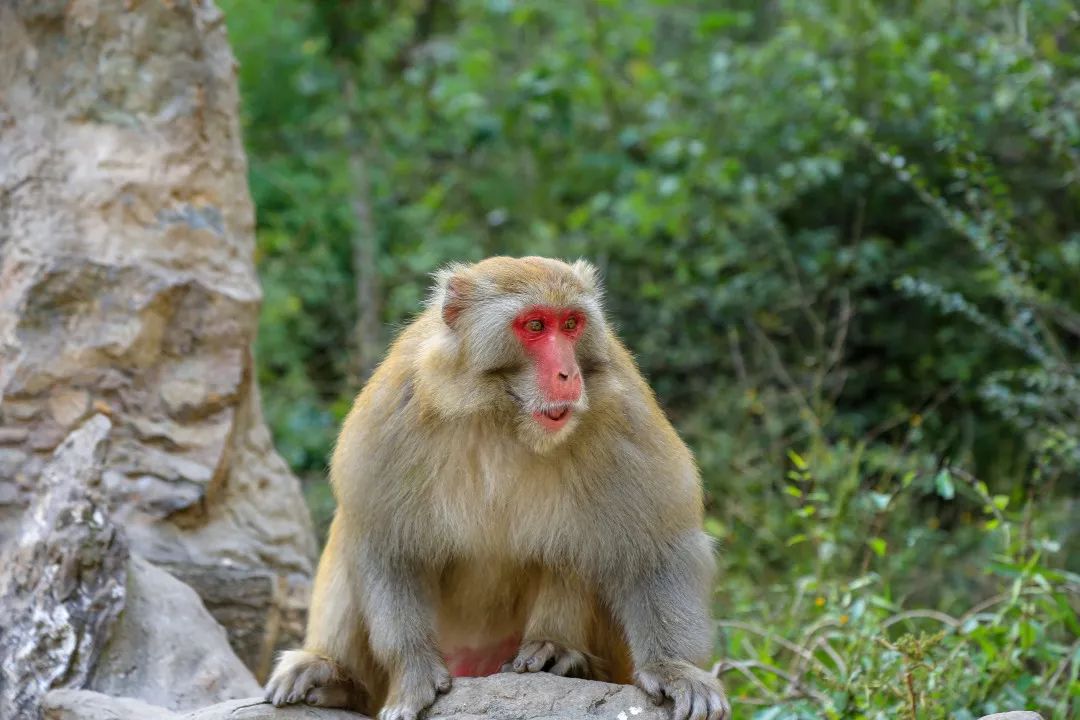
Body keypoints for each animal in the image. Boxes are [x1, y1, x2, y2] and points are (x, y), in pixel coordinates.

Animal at [264, 254, 730, 720]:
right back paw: (332, 675)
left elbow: (656, 545)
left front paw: (673, 668)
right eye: (536, 325)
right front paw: (412, 669)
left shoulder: (624, 411)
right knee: (350, 530)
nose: (568, 374)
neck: (500, 413)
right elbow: (386, 542)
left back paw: (559, 653)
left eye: (571, 324)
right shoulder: (392, 410)